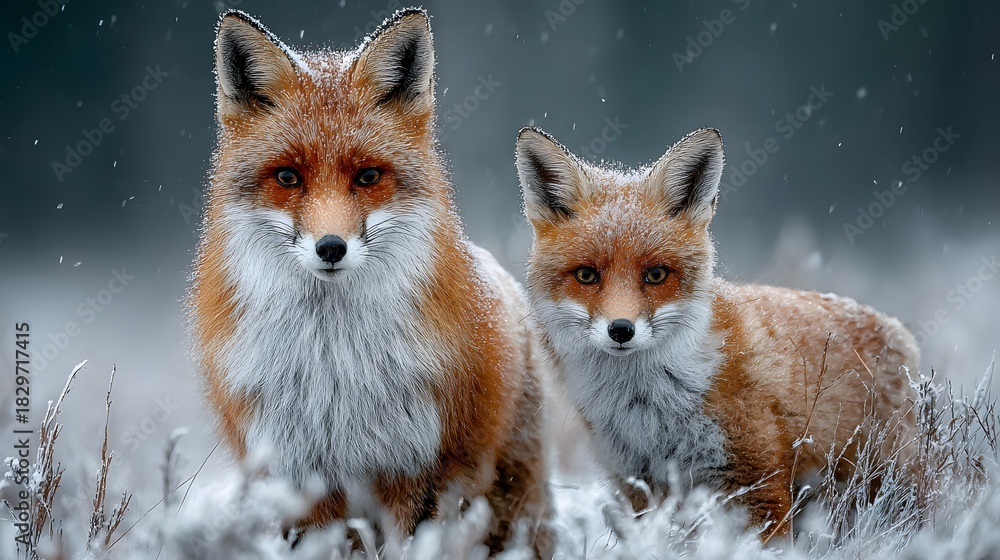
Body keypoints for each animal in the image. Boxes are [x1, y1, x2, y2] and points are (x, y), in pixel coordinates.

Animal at [188, 9, 551, 556]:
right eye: (288, 177)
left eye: (367, 176)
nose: (331, 247)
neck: (334, 365)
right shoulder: (296, 474)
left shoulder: (417, 467)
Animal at [514, 126, 919, 536]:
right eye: (586, 275)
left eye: (656, 275)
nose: (621, 330)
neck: (648, 409)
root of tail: (897, 331)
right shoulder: (639, 483)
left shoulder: (757, 479)